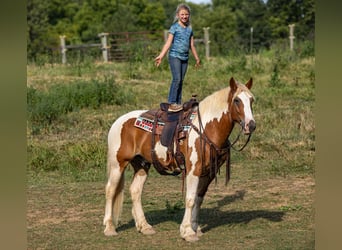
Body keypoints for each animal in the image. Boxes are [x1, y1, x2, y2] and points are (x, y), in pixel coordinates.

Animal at [103, 76, 255, 242]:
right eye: (237, 100)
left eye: (251, 100)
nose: (251, 125)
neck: (206, 129)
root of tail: (118, 121)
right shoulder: (193, 170)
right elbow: (190, 199)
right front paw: (188, 232)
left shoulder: (208, 173)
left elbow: (198, 199)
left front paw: (195, 228)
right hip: (118, 164)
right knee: (110, 190)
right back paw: (109, 227)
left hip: (142, 164)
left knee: (135, 191)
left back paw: (144, 226)